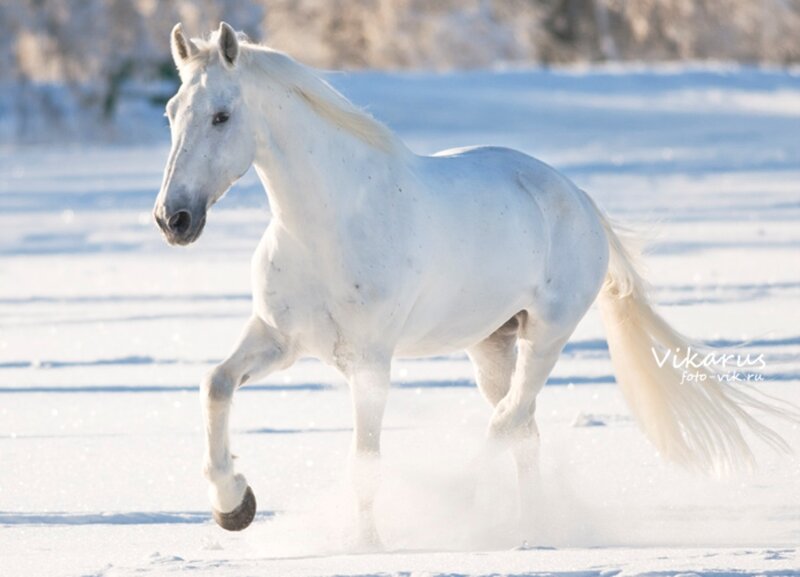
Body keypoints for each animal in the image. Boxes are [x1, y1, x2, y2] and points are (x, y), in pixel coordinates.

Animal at [153, 22, 795, 547]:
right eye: (170, 112)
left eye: (221, 115)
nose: (172, 219)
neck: (329, 224)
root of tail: (577, 197)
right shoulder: (279, 339)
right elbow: (215, 385)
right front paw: (233, 506)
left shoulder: (370, 362)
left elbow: (365, 460)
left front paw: (366, 546)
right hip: (492, 346)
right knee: (522, 430)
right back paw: (532, 534)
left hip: (546, 337)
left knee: (507, 421)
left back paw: (474, 512)